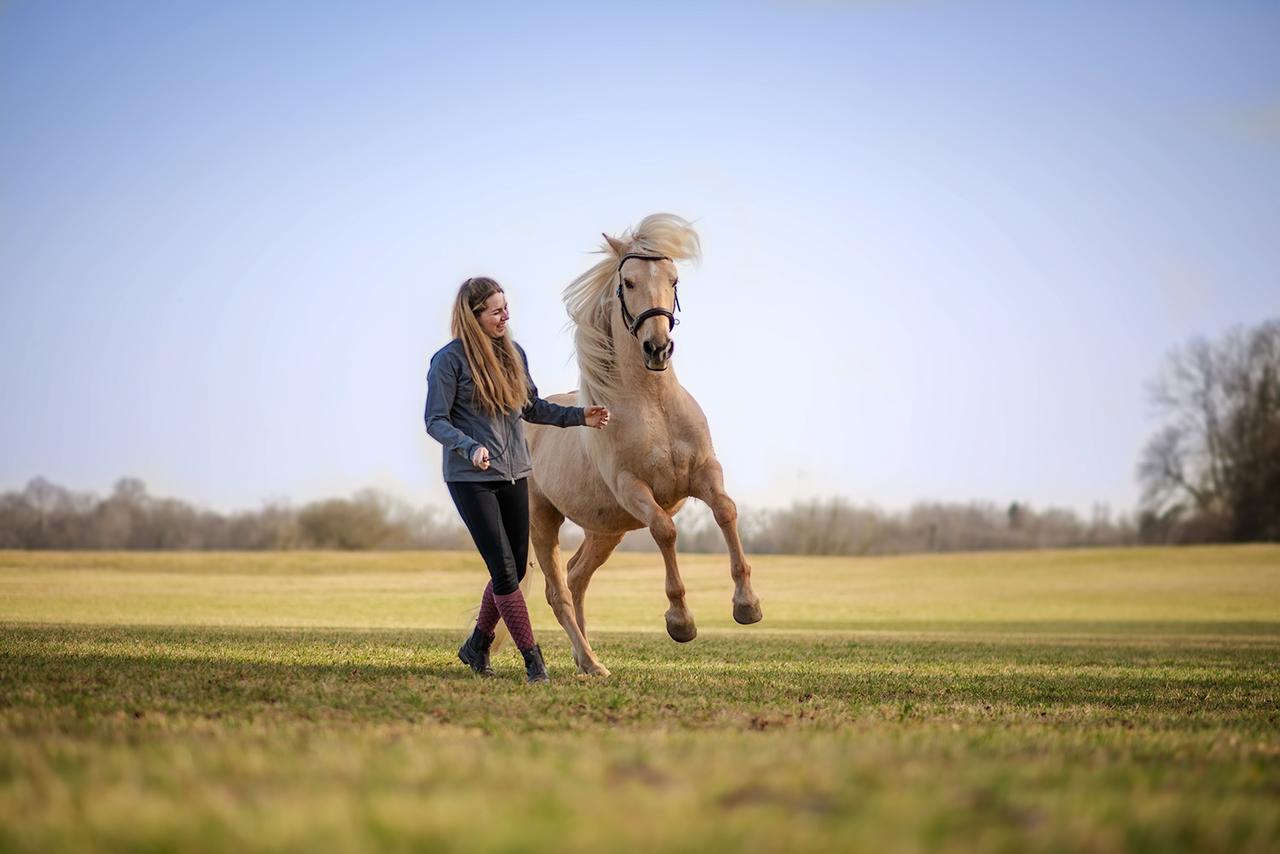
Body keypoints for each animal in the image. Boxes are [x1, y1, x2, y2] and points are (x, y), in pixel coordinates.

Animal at [527, 213, 762, 676]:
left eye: (674, 280)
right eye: (628, 282)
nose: (658, 348)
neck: (653, 405)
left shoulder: (705, 472)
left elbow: (726, 511)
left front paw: (746, 605)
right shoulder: (634, 489)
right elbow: (665, 530)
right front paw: (681, 622)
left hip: (605, 530)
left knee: (577, 577)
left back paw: (588, 661)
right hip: (542, 518)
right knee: (557, 591)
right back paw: (591, 662)